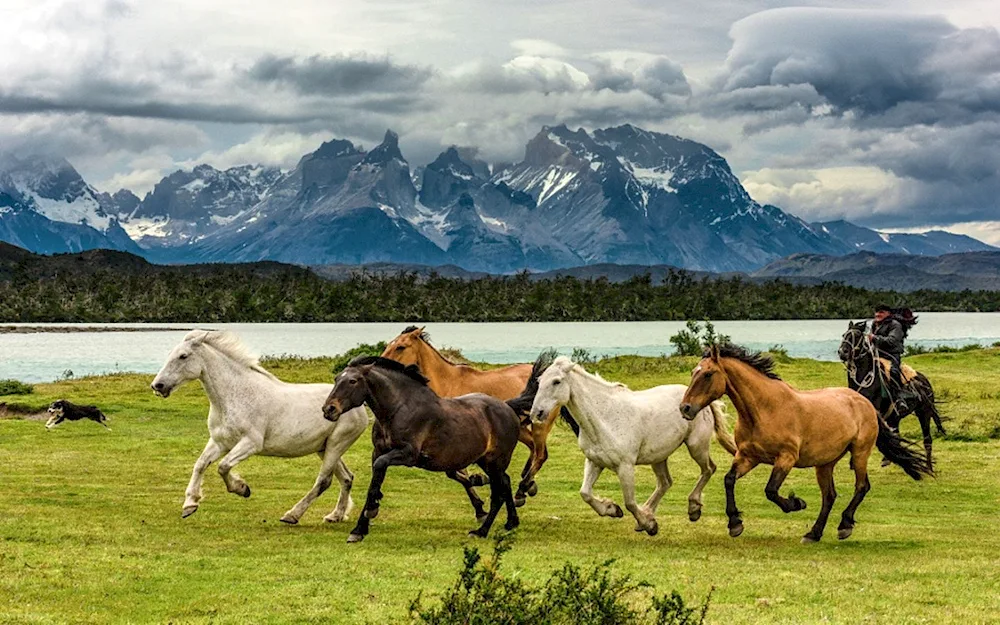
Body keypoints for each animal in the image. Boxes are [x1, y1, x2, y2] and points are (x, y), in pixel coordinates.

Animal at [154, 330, 374, 524]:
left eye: (183, 356)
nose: (157, 386)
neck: (235, 396)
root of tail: (359, 406)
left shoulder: (250, 443)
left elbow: (223, 466)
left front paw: (242, 488)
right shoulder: (220, 442)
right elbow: (200, 464)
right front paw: (190, 505)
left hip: (337, 444)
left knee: (324, 481)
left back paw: (292, 515)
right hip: (325, 448)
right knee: (346, 478)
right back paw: (335, 516)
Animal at [322, 356, 524, 540]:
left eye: (352, 381)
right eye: (337, 378)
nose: (328, 409)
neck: (399, 409)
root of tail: (508, 408)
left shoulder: (408, 455)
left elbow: (379, 469)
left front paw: (372, 510)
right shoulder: (378, 452)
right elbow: (374, 481)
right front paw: (359, 529)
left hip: (495, 461)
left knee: (498, 493)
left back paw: (481, 531)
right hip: (486, 461)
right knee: (505, 483)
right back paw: (511, 522)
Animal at [380, 326, 576, 502]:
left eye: (400, 347)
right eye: (390, 344)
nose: (381, 363)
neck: (448, 383)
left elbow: (457, 473)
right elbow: (456, 474)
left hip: (540, 424)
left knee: (541, 454)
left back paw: (522, 489)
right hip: (521, 427)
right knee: (534, 449)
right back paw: (527, 484)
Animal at [532, 356, 736, 536]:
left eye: (556, 381)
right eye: (540, 381)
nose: (537, 413)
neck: (605, 417)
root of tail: (700, 401)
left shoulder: (625, 466)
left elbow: (629, 502)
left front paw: (649, 525)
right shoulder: (594, 461)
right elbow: (585, 493)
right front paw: (613, 509)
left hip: (696, 447)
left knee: (708, 469)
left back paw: (693, 509)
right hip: (659, 456)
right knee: (665, 482)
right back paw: (649, 512)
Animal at [676, 342, 932, 540]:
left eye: (707, 374)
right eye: (693, 372)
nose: (685, 408)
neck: (764, 410)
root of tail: (864, 402)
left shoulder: (786, 458)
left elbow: (771, 490)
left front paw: (796, 503)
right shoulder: (748, 457)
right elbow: (729, 480)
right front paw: (735, 523)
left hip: (860, 452)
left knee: (861, 486)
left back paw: (844, 526)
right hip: (825, 463)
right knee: (829, 496)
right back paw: (814, 533)